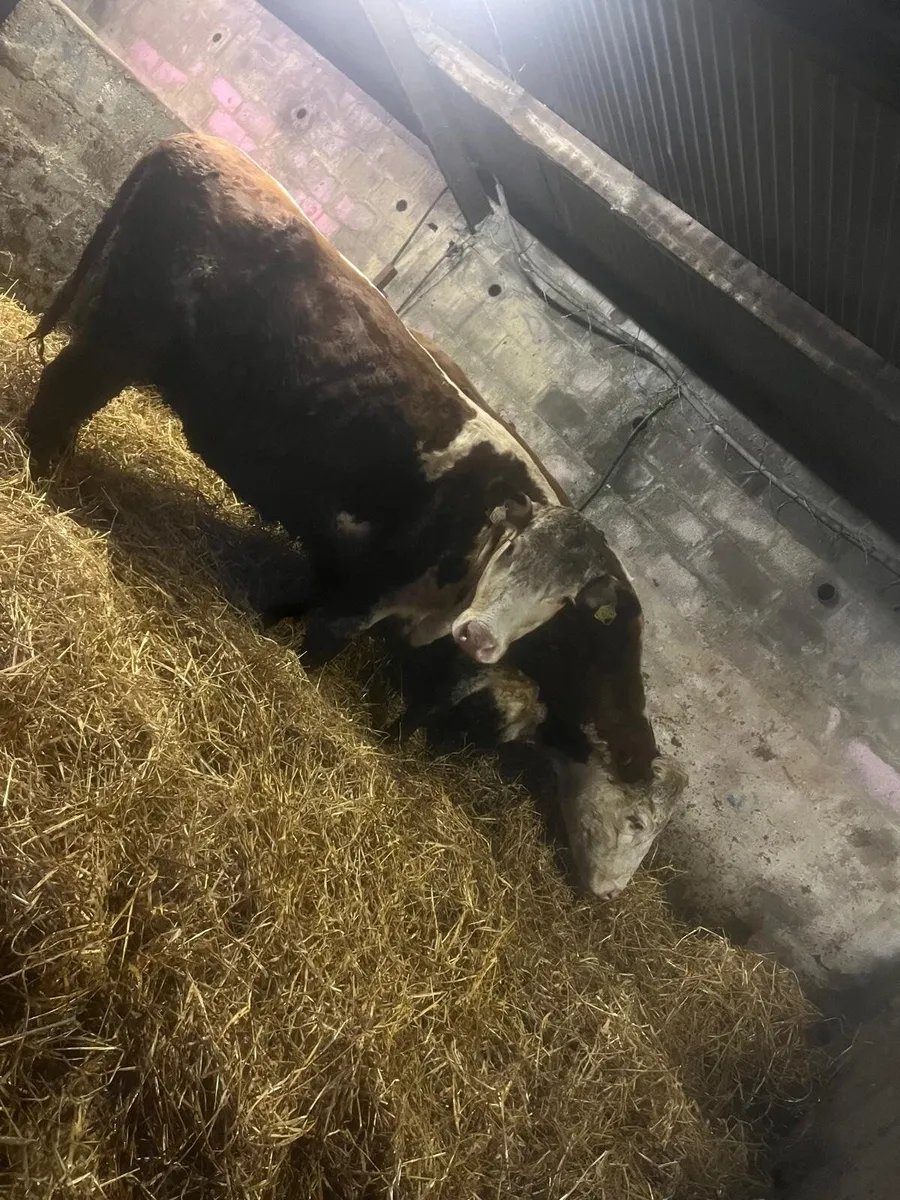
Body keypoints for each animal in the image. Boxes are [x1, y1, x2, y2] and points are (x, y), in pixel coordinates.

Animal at [24, 133, 629, 669]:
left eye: (561, 600)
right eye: (513, 552)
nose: (479, 638)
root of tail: (192, 141)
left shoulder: (336, 567)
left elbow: (289, 606)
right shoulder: (366, 591)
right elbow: (318, 649)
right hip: (127, 333)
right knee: (61, 392)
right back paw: (42, 480)